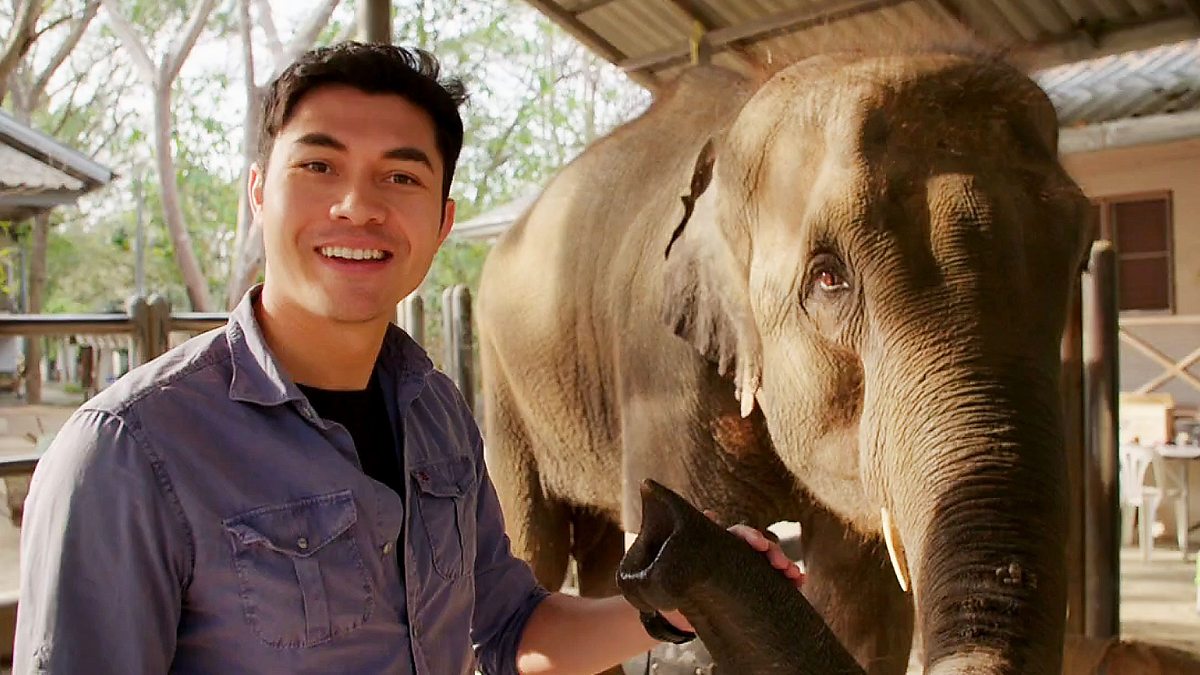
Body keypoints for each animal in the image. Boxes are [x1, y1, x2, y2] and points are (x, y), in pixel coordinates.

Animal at [472, 44, 1094, 667]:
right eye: (829, 277)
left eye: (1082, 255)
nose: (659, 528)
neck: (732, 132)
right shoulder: (660, 367)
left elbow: (863, 600)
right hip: (501, 384)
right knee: (532, 548)